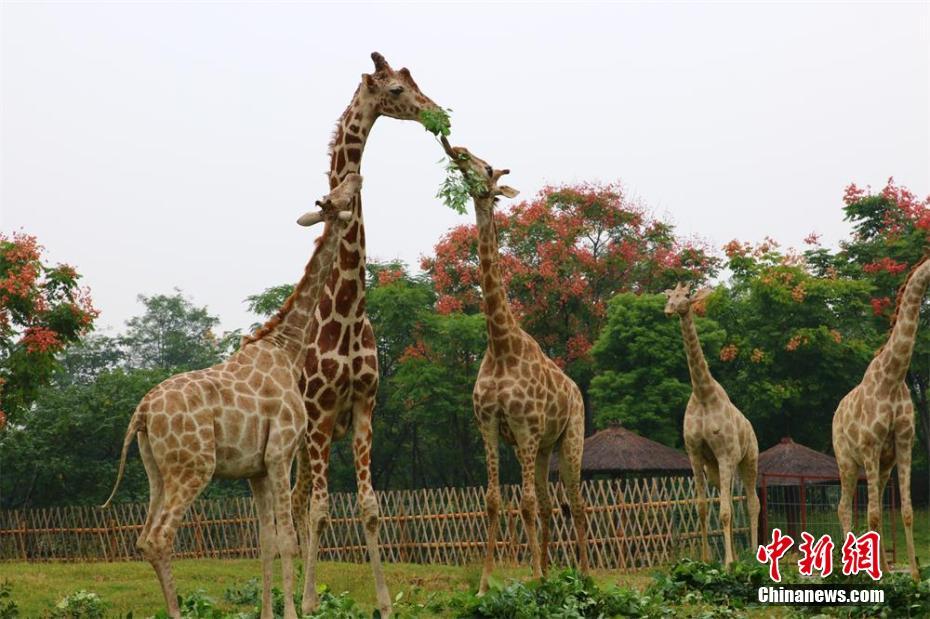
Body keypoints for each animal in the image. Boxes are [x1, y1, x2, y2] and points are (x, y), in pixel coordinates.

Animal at [101, 173, 362, 619]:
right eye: (336, 195)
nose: (356, 177)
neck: (286, 346)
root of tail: (142, 412)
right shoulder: (280, 453)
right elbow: (287, 538)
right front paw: (291, 613)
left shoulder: (254, 469)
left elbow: (266, 542)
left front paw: (268, 612)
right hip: (194, 466)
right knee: (160, 537)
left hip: (156, 469)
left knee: (143, 537)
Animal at [440, 137, 592, 596]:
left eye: (489, 168)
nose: (458, 148)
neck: (500, 343)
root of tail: (577, 390)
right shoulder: (489, 426)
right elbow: (494, 501)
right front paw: (487, 584)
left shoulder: (524, 427)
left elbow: (521, 502)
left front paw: (537, 579)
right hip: (543, 449)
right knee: (546, 504)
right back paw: (551, 572)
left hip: (570, 438)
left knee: (574, 502)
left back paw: (582, 575)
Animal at [660, 284, 752, 568]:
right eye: (669, 296)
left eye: (686, 296)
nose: (669, 310)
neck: (703, 393)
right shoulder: (695, 454)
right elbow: (702, 508)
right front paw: (705, 559)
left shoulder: (724, 454)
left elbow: (725, 512)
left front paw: (728, 563)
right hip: (716, 468)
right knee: (731, 502)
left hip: (747, 460)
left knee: (751, 503)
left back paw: (752, 554)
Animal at [832, 254, 924, 580]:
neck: (893, 378)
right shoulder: (870, 446)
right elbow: (870, 515)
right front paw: (878, 580)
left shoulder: (904, 444)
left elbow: (905, 512)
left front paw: (915, 577)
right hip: (847, 461)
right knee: (844, 507)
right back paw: (850, 571)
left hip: (883, 467)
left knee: (877, 512)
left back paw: (882, 567)